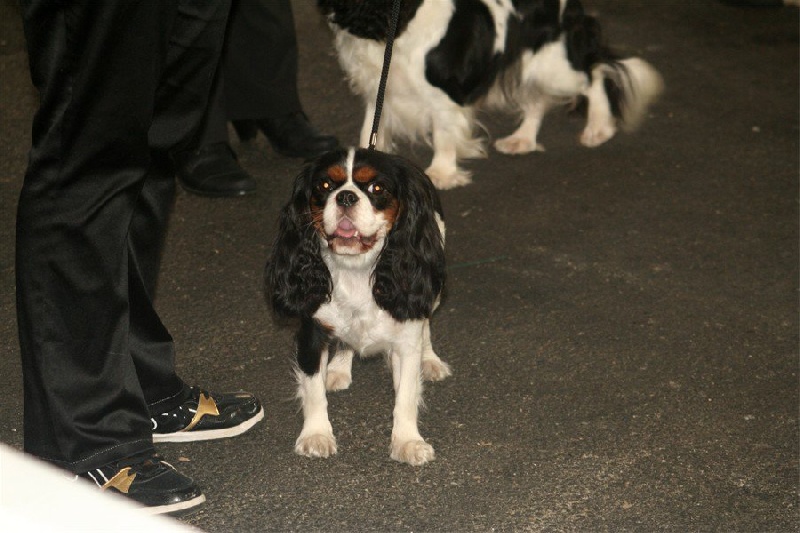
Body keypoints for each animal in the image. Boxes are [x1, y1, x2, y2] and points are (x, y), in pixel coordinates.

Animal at [264, 147, 446, 466]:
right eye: (325, 186)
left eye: (377, 189)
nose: (346, 197)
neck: (356, 269)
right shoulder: (313, 332)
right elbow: (313, 389)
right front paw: (316, 435)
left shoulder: (406, 334)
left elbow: (406, 395)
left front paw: (408, 441)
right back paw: (338, 368)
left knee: (426, 325)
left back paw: (431, 360)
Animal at [318, 0, 664, 189]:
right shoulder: (379, 88)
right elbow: (370, 128)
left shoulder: (446, 93)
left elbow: (444, 134)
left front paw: (442, 173)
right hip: (530, 63)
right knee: (537, 100)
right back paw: (522, 140)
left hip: (553, 65)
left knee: (594, 74)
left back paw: (598, 128)